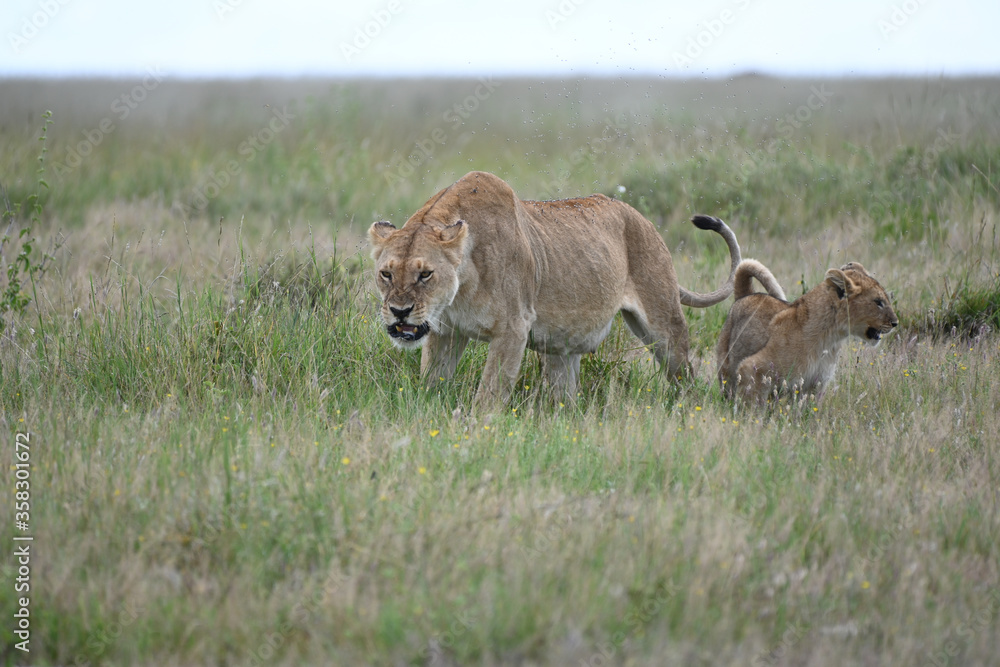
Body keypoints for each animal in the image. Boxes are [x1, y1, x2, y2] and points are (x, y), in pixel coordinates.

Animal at [368, 171, 742, 408]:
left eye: (425, 274)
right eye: (386, 274)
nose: (399, 312)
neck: (459, 288)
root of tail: (642, 218)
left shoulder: (513, 328)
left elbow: (489, 394)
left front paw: (477, 432)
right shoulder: (446, 333)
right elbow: (432, 383)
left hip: (665, 327)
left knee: (686, 379)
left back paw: (689, 414)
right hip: (562, 351)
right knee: (567, 399)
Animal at [716, 259, 898, 403]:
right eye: (878, 302)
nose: (895, 323)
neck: (830, 338)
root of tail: (745, 295)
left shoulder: (815, 385)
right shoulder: (752, 369)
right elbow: (753, 408)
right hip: (726, 371)